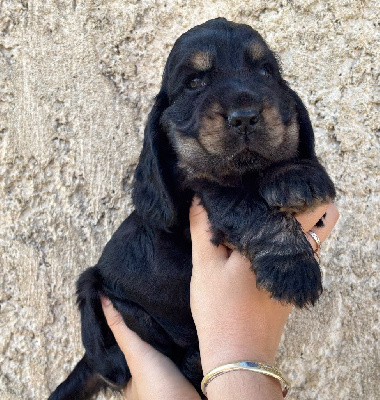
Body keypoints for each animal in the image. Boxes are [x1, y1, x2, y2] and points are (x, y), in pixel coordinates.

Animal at [49, 18, 336, 400]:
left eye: (265, 72)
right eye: (194, 83)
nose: (245, 117)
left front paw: (298, 174)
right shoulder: (203, 188)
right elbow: (247, 208)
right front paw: (292, 267)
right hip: (96, 291)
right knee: (108, 353)